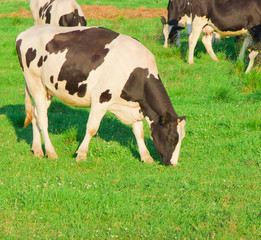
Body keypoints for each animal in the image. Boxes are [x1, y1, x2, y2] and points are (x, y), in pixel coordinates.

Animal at [15, 25, 185, 166]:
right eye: (172, 138)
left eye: (181, 138)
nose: (173, 164)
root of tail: (25, 32)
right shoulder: (101, 99)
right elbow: (92, 128)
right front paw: (81, 154)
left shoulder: (135, 105)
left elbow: (139, 132)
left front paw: (146, 156)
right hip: (34, 82)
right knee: (43, 120)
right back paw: (51, 152)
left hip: (46, 89)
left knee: (36, 114)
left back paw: (37, 149)